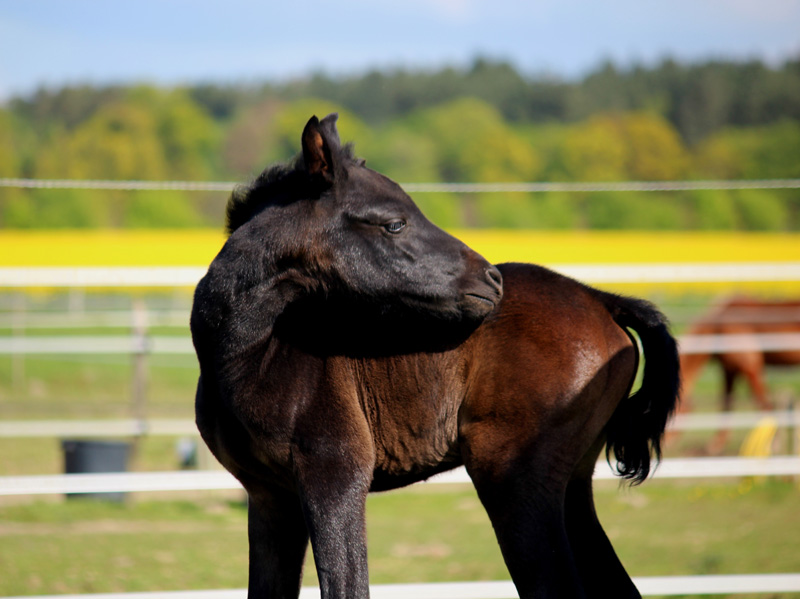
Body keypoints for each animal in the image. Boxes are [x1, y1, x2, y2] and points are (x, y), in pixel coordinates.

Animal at [191, 113, 680, 599]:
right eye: (394, 224)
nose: (492, 280)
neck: (250, 356)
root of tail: (601, 299)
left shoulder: (335, 476)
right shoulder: (270, 497)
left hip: (514, 480)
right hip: (573, 481)